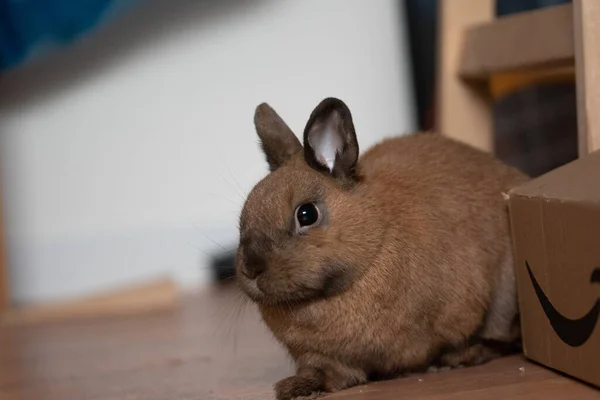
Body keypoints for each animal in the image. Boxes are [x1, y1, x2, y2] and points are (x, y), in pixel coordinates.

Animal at [237, 97, 528, 400]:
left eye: (306, 214)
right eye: (243, 217)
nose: (251, 268)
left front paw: (448, 360)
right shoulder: (322, 358)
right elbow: (325, 374)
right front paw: (294, 388)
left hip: (504, 302)